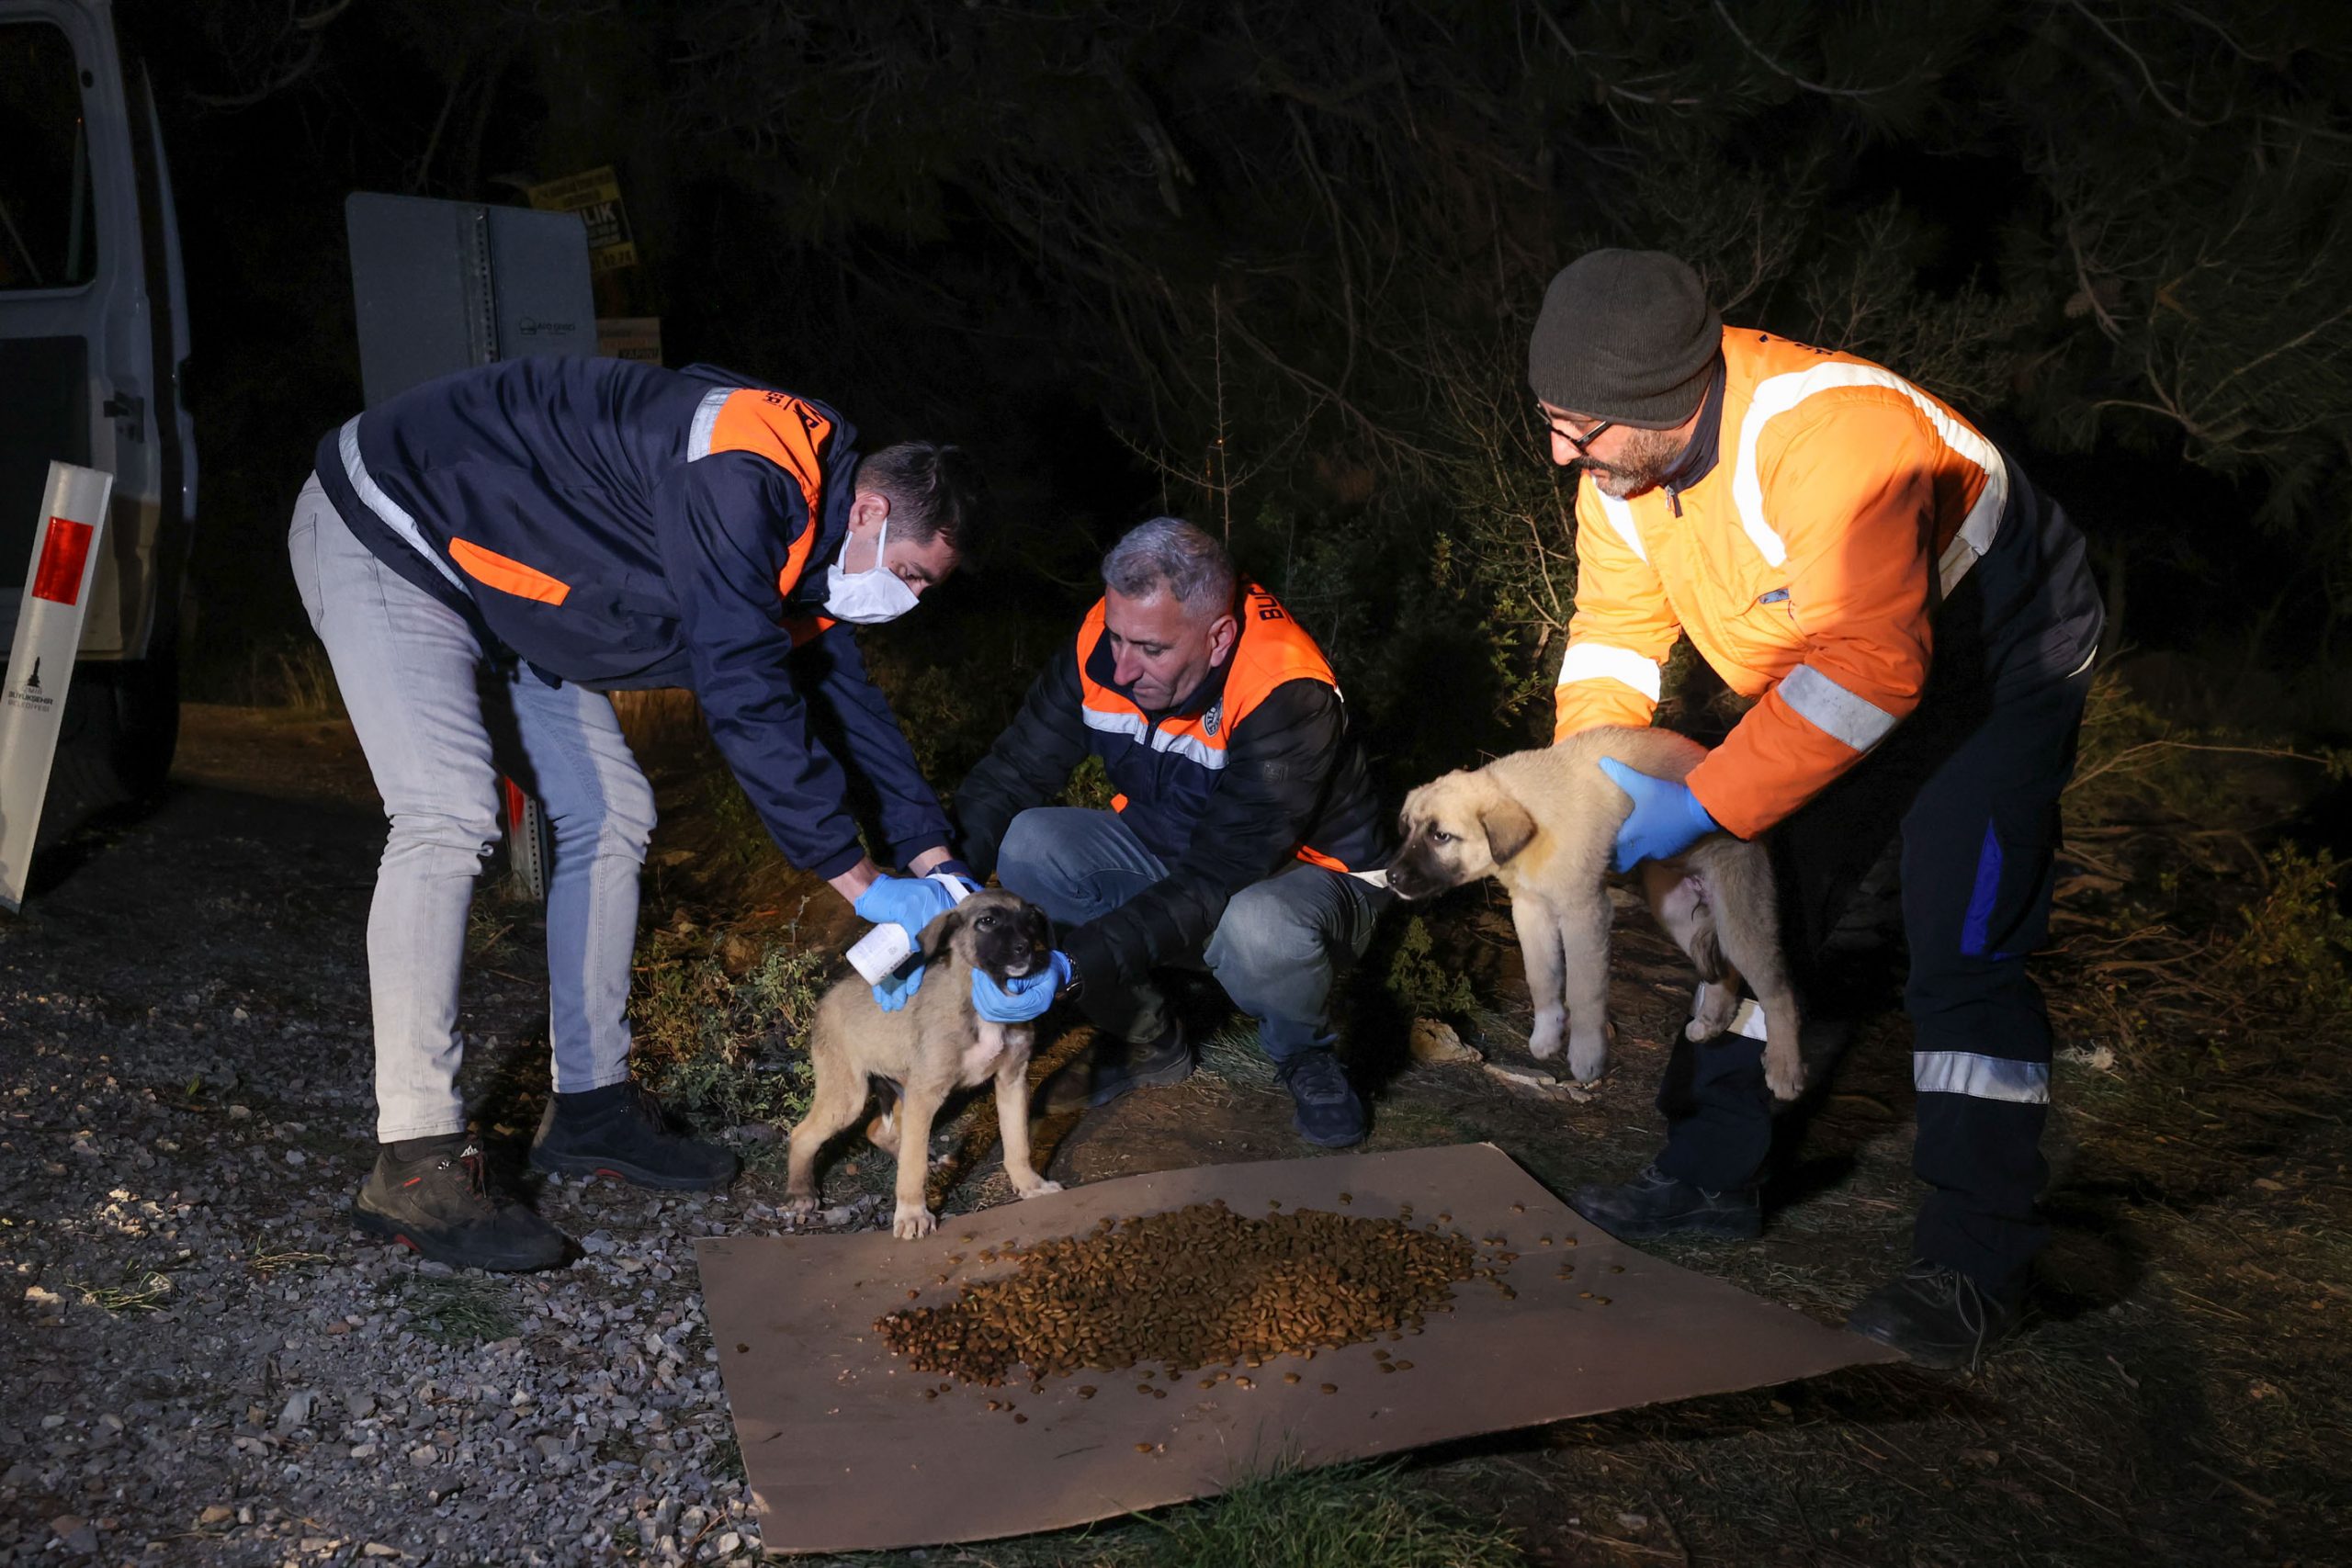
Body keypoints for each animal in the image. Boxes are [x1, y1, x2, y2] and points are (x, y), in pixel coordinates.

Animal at [786, 893, 1063, 1241]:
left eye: (1030, 920)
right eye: (987, 921)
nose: (1026, 949)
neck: (979, 1002)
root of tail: (824, 1000)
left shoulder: (1012, 1079)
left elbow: (1018, 1143)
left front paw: (1030, 1184)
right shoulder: (927, 1092)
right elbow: (912, 1165)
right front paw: (912, 1214)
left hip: (902, 1086)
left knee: (878, 1130)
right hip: (848, 1097)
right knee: (803, 1134)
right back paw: (800, 1193)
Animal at [1374, 728, 1796, 1100]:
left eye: (1441, 836)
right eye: (1408, 830)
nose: (1391, 877)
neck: (1535, 822)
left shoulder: (1585, 913)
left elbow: (1583, 990)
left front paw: (1586, 1055)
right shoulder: (1531, 911)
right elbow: (1541, 977)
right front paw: (1546, 1034)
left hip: (1741, 916)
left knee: (1778, 991)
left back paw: (1785, 1070)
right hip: (1676, 912)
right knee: (1726, 970)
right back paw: (1710, 1023)